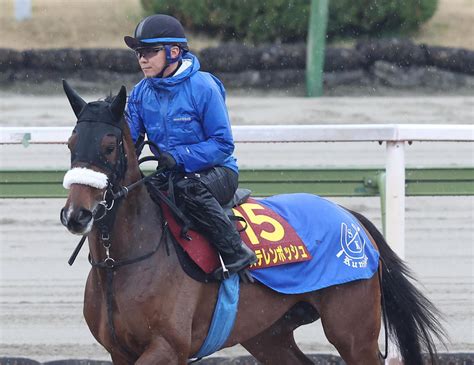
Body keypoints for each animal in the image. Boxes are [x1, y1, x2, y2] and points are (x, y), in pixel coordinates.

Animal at [60, 80, 448, 364]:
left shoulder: (167, 347)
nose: (77, 214)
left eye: (109, 146)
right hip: (268, 333)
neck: (121, 262)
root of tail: (351, 217)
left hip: (354, 333)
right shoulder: (120, 352)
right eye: (70, 143)